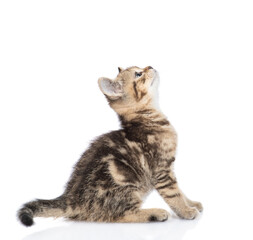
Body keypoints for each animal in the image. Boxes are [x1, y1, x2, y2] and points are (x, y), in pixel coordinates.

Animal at [17, 66, 203, 227]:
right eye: (138, 74)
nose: (150, 66)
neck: (148, 118)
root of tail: (71, 198)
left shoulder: (169, 168)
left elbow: (181, 191)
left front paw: (192, 203)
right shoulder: (162, 170)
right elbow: (174, 194)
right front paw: (186, 211)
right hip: (125, 188)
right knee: (120, 215)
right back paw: (155, 213)